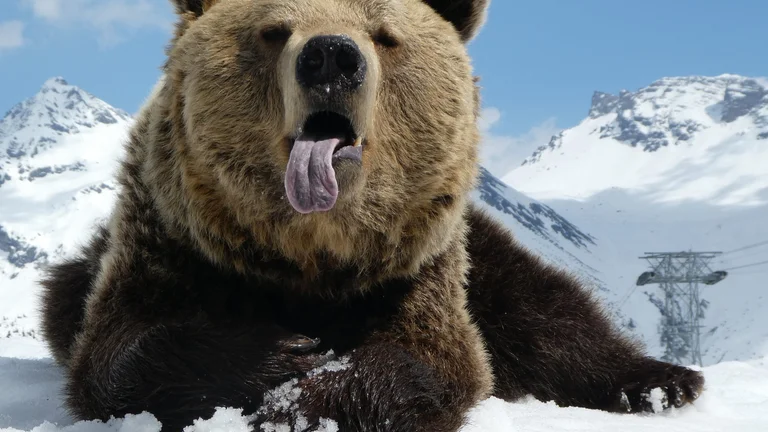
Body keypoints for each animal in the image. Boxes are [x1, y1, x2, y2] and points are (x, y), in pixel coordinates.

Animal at [39, 0, 705, 431]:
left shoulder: (417, 266)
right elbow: (119, 352)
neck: (311, 250)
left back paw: (661, 382)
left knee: (547, 311)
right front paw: (285, 354)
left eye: (384, 34)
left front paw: (303, 401)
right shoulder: (173, 239)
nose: (332, 58)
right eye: (274, 30)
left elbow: (433, 357)